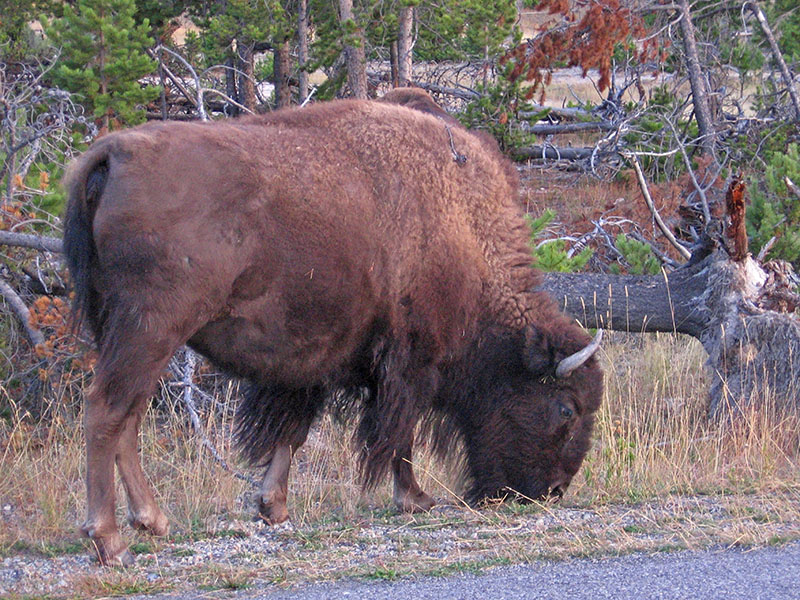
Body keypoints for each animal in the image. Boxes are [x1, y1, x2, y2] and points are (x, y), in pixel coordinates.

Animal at [64, 96, 600, 564]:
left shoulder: (315, 360)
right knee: (106, 412)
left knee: (128, 416)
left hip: (126, 332)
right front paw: (416, 500)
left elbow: (294, 431)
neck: (461, 224)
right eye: (566, 408)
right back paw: (110, 541)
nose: (552, 492)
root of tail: (115, 154)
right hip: (150, 330)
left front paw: (274, 506)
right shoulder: (409, 362)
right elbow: (397, 433)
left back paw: (152, 521)